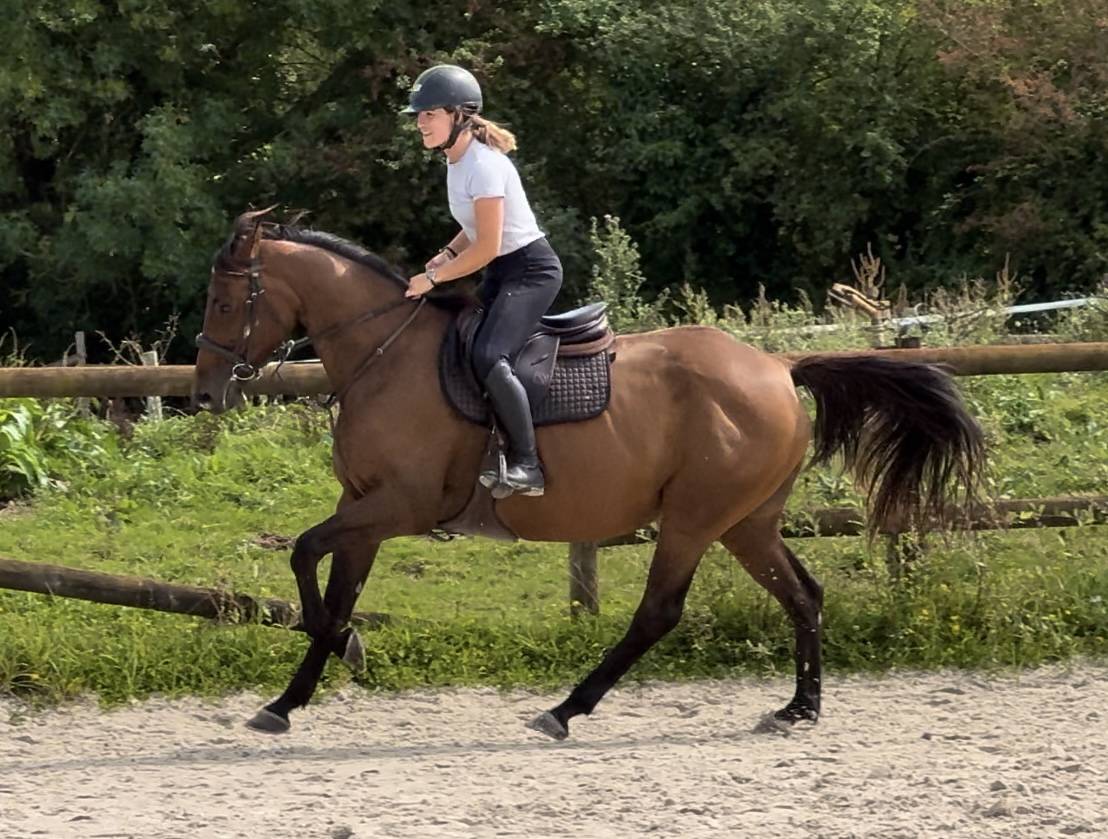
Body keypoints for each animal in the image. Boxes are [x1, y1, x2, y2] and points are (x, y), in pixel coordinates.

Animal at [192, 209, 985, 738]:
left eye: (226, 301)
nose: (203, 393)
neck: (382, 353)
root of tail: (779, 367)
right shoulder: (363, 506)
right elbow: (334, 585)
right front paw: (293, 695)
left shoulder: (399, 505)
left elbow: (304, 555)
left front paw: (335, 649)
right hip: (746, 523)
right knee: (803, 594)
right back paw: (799, 708)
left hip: (693, 519)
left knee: (660, 611)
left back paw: (565, 709)